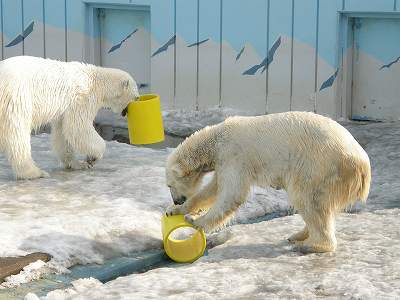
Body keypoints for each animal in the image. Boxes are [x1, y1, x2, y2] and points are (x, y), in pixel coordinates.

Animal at [0, 55, 139, 179]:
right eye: (136, 96)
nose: (138, 100)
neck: (96, 80)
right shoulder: (82, 98)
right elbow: (78, 127)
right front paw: (92, 158)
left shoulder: (65, 108)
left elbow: (63, 132)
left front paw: (77, 164)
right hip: (17, 97)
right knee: (18, 135)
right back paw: (34, 172)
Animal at [166, 111, 372, 252]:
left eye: (170, 185)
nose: (176, 200)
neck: (217, 140)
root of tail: (363, 164)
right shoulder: (223, 162)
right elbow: (212, 189)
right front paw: (176, 211)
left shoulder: (234, 156)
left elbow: (231, 194)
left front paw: (195, 221)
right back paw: (298, 236)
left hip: (321, 166)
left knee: (307, 199)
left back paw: (308, 245)